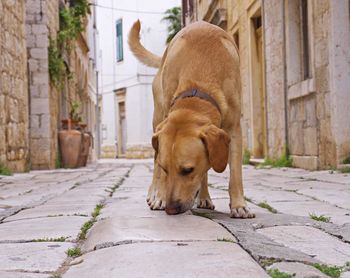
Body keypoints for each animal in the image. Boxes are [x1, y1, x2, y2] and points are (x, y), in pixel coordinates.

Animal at [129, 20, 254, 218]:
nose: (171, 209)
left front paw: (239, 205)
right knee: (155, 161)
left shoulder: (234, 130)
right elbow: (159, 169)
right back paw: (155, 193)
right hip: (157, 118)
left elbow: (235, 175)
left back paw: (204, 197)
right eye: (166, 168)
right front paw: (160, 196)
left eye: (188, 170)